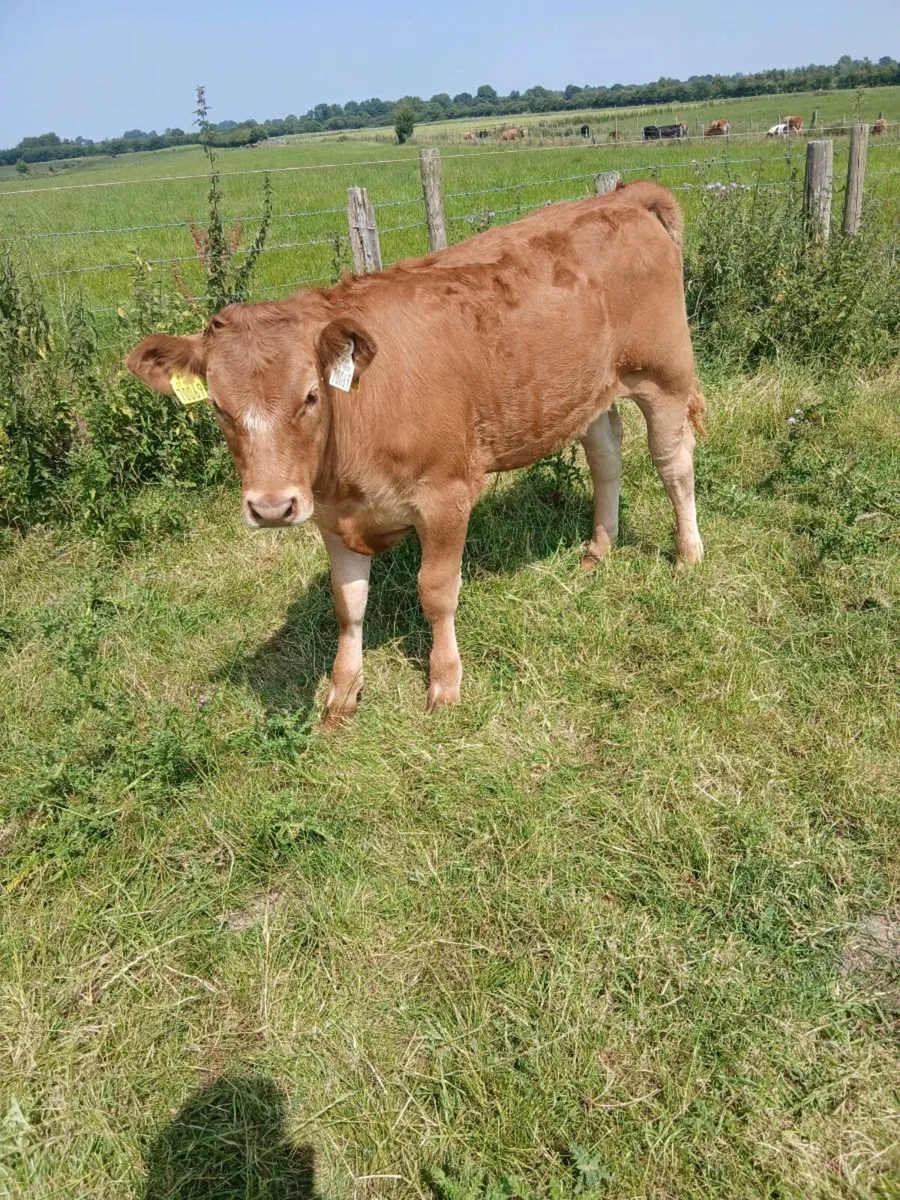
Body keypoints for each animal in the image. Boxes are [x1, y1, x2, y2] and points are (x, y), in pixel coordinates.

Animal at [125, 182, 706, 723]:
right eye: (218, 407)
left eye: (310, 395)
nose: (271, 508)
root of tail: (622, 197)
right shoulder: (332, 515)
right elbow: (348, 603)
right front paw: (342, 692)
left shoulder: (446, 496)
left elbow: (436, 590)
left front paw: (444, 682)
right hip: (587, 389)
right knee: (606, 455)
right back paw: (597, 551)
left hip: (664, 374)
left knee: (673, 464)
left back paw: (687, 555)